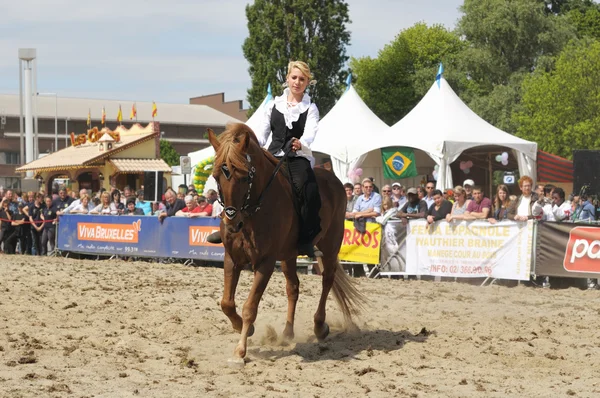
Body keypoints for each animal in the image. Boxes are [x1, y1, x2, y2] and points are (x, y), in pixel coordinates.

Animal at [206, 124, 366, 364]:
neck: (252, 213)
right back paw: (287, 333)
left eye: (244, 176)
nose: (232, 222)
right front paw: (245, 329)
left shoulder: (265, 263)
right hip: (289, 256)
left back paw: (320, 327)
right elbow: (226, 303)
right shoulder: (232, 259)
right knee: (293, 287)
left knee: (327, 280)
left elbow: (250, 307)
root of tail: (334, 179)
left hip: (330, 246)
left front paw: (240, 350)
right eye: (216, 176)